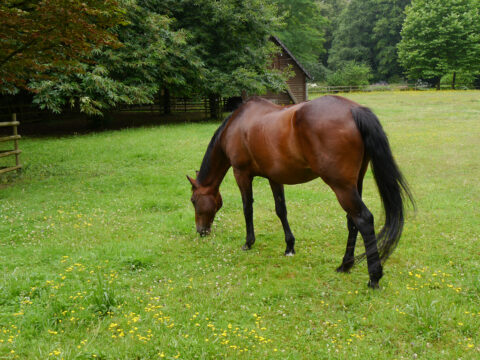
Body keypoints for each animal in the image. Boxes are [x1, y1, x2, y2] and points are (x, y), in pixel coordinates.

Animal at [188, 95, 412, 286]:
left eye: (193, 200)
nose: (201, 231)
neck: (238, 124)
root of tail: (354, 110)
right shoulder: (274, 178)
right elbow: (281, 210)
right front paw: (289, 246)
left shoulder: (241, 174)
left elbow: (247, 209)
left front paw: (248, 243)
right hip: (355, 183)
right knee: (352, 221)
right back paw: (345, 265)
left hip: (342, 187)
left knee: (364, 219)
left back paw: (374, 277)